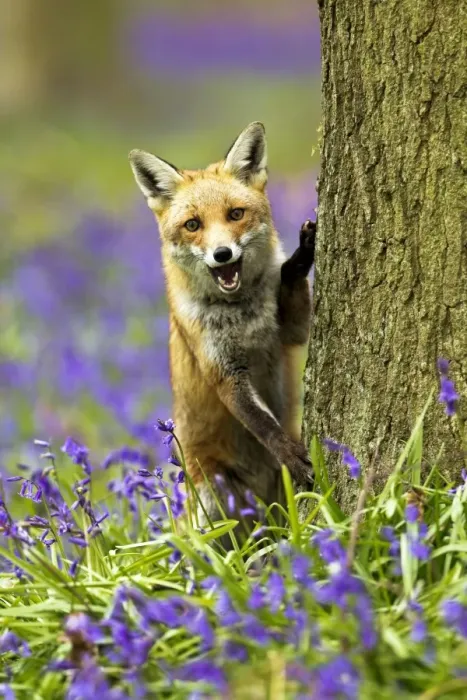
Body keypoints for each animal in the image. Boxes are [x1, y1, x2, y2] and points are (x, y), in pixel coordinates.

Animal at [128, 121, 315, 536]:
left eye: (235, 214)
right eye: (193, 225)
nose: (222, 254)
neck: (243, 313)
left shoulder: (291, 334)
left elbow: (292, 290)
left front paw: (302, 256)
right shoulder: (224, 371)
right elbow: (262, 424)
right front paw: (288, 453)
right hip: (214, 501)